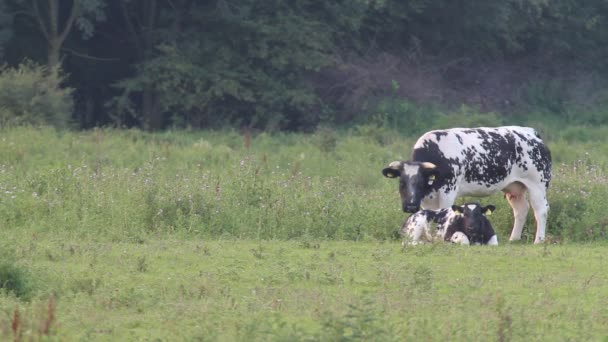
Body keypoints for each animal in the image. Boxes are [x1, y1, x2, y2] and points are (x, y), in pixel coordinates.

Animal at [384, 125, 552, 243]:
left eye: (420, 182)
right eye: (402, 183)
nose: (410, 206)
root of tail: (532, 133)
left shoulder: (448, 190)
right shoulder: (427, 198)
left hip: (537, 184)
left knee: (541, 210)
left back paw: (539, 240)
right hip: (514, 187)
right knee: (521, 209)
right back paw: (514, 239)